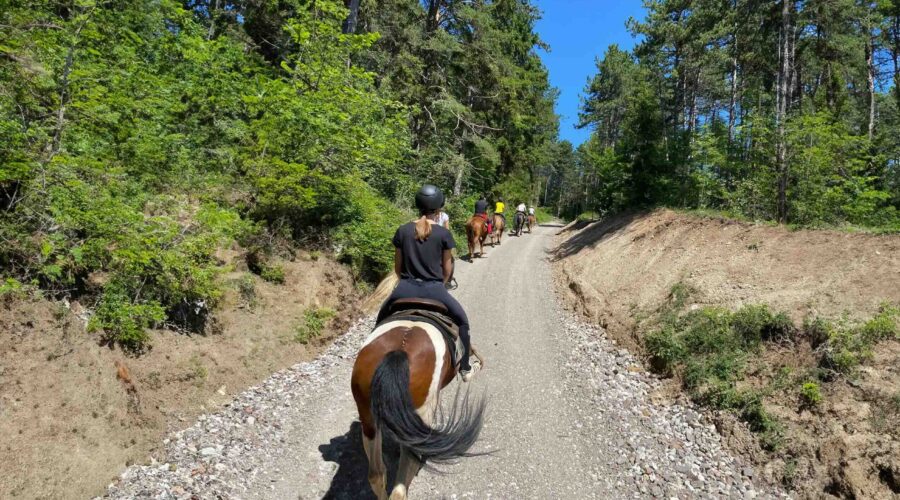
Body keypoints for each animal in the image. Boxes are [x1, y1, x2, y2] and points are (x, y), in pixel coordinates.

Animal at [351, 299, 486, 500]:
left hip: (368, 417)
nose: (477, 361)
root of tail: (399, 351)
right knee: (400, 486)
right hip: (420, 414)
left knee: (376, 474)